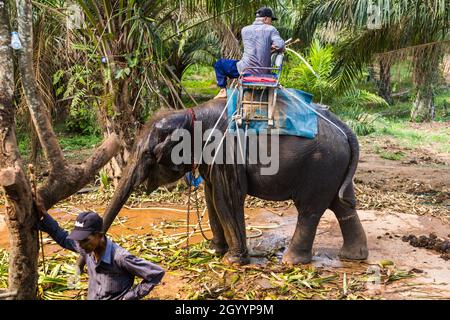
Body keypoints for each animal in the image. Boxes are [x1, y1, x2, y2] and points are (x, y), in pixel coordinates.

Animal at [102, 99, 370, 264]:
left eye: (149, 154)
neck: (191, 113)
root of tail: (344, 127)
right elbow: (211, 197)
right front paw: (215, 251)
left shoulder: (226, 153)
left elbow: (227, 198)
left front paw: (232, 261)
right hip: (333, 168)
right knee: (342, 204)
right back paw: (353, 257)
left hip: (320, 166)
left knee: (310, 210)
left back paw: (291, 261)